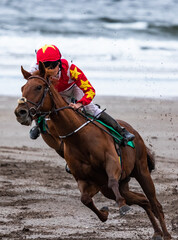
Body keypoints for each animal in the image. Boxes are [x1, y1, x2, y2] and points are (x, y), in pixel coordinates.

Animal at [14, 62, 172, 240]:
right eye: (23, 88)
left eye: (38, 87)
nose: (20, 112)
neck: (79, 138)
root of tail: (134, 132)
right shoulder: (87, 180)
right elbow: (85, 199)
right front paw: (105, 213)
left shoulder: (112, 163)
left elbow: (112, 181)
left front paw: (122, 206)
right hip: (118, 186)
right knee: (143, 200)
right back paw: (157, 232)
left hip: (142, 171)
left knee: (154, 203)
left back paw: (166, 234)